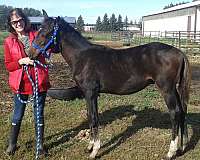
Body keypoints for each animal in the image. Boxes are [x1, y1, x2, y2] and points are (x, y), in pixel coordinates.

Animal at [29, 10, 191, 159]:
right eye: (38, 30)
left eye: (46, 32)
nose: (30, 53)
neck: (82, 57)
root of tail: (179, 52)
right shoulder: (90, 94)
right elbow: (90, 117)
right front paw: (90, 146)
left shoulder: (90, 93)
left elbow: (94, 118)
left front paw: (95, 150)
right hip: (175, 89)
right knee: (182, 111)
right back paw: (182, 147)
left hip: (167, 89)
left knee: (174, 113)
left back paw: (170, 152)